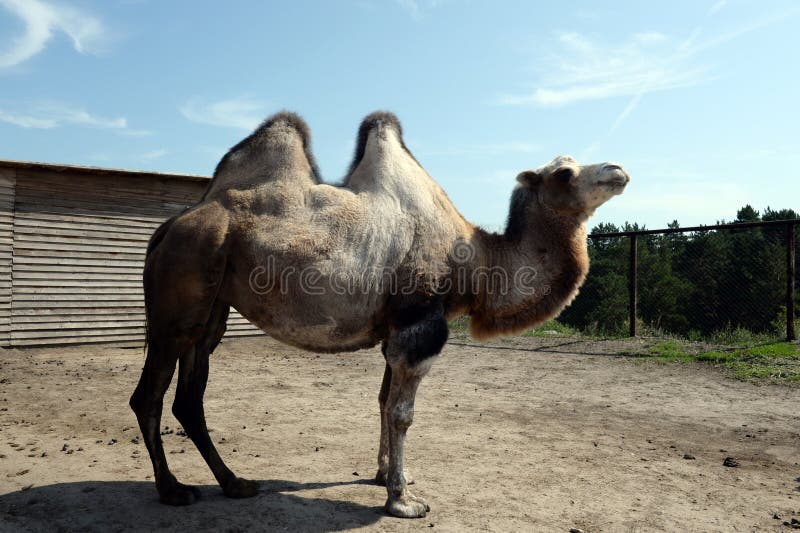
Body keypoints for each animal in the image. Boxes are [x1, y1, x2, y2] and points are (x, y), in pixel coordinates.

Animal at [128, 111, 628, 516]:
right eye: (563, 173)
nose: (619, 169)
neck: (476, 262)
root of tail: (168, 227)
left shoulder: (394, 329)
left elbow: (384, 401)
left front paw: (390, 475)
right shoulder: (419, 325)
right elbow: (403, 412)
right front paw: (403, 502)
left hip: (210, 313)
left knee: (189, 398)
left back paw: (235, 483)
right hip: (178, 304)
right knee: (148, 396)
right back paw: (173, 490)